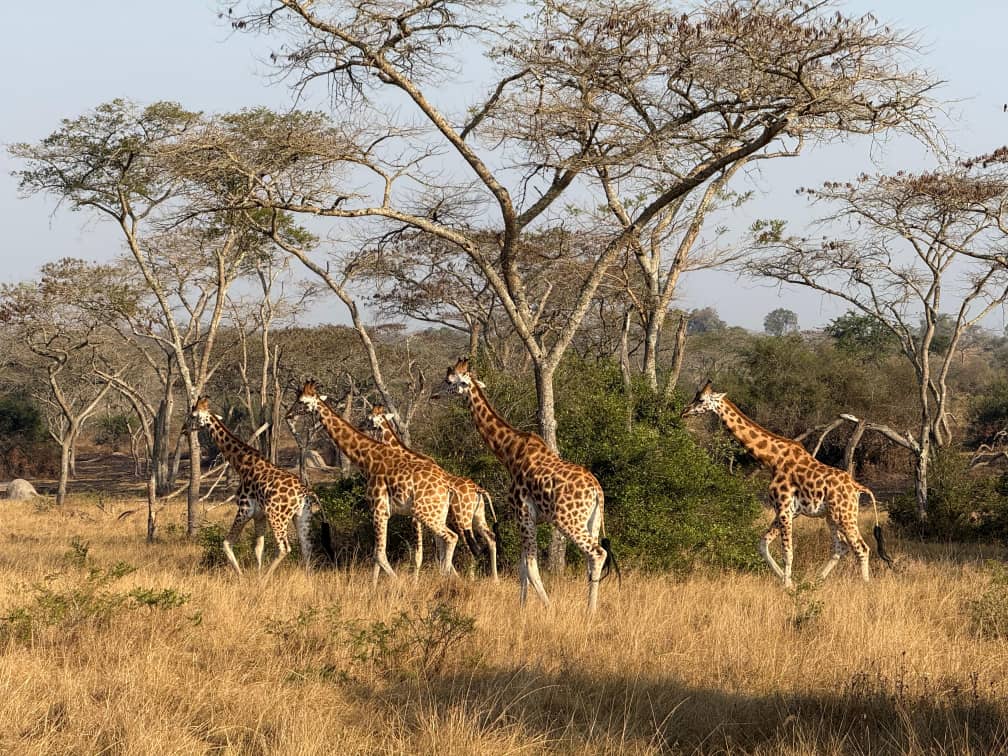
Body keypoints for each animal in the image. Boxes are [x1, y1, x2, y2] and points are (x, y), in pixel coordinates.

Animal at [188, 397, 330, 578]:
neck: (241, 464)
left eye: (192, 415)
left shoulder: (245, 509)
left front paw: (243, 577)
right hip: (302, 516)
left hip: (277, 516)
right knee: (307, 548)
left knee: (284, 548)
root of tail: (306, 492)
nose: (185, 429)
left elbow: (227, 544)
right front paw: (256, 573)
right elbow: (258, 548)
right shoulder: (259, 514)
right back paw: (306, 579)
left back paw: (265, 579)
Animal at [287, 380, 460, 584]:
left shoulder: (379, 509)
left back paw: (446, 578)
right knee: (445, 540)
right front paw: (375, 584)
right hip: (436, 512)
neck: (368, 458)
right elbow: (379, 554)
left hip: (424, 512)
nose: (288, 414)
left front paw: (398, 584)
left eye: (301, 402)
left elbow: (380, 554)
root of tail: (447, 486)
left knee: (451, 537)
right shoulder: (385, 512)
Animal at [366, 405, 499, 581]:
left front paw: (416, 581)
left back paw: (471, 579)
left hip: (461, 519)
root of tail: (478, 490)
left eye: (370, 419)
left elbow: (420, 554)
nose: (365, 427)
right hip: (477, 517)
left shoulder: (416, 517)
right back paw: (494, 579)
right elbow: (438, 551)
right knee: (490, 538)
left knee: (471, 547)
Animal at [441, 358, 617, 612]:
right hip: (591, 522)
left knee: (596, 554)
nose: (435, 395)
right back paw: (590, 608)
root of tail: (597, 491)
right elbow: (523, 566)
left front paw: (548, 607)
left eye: (448, 381)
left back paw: (589, 611)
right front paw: (522, 607)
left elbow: (530, 566)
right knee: (591, 560)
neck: (509, 453)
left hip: (568, 520)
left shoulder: (523, 514)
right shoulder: (526, 518)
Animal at [681, 381, 892, 589]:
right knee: (841, 547)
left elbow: (787, 552)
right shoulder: (787, 511)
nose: (684, 412)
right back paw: (815, 581)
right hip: (831, 516)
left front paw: (787, 585)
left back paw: (865, 585)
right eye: (695, 396)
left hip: (845, 515)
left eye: (701, 399)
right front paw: (787, 581)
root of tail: (857, 487)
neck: (772, 458)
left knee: (861, 548)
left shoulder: (783, 508)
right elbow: (762, 544)